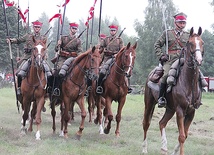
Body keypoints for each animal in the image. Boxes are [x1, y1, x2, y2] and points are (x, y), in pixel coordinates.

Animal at [142, 27, 204, 155]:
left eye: (202, 43)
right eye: (190, 43)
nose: (199, 60)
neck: (188, 82)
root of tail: (151, 73)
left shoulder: (191, 112)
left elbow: (185, 135)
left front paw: (174, 151)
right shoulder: (180, 111)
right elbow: (181, 136)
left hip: (170, 109)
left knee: (162, 123)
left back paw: (164, 148)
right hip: (149, 104)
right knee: (146, 124)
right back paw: (144, 149)